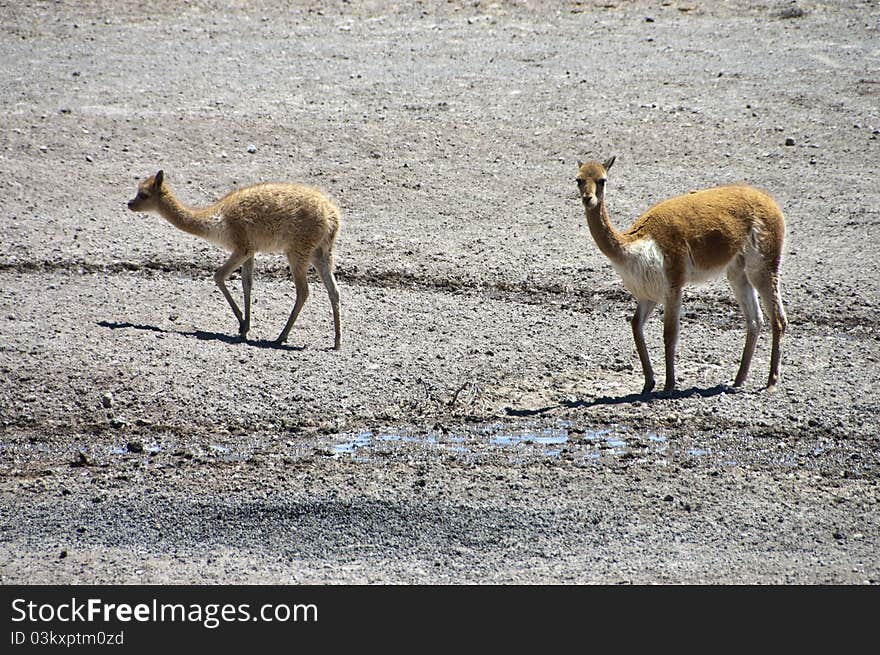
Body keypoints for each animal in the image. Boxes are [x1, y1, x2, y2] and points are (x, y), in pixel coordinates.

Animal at [127, 172, 340, 352]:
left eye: (144, 195)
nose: (129, 203)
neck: (216, 219)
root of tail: (332, 215)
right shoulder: (251, 251)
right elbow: (247, 284)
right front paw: (245, 328)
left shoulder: (241, 247)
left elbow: (219, 276)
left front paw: (242, 324)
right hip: (320, 253)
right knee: (334, 290)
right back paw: (337, 342)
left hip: (298, 250)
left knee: (303, 291)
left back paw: (281, 337)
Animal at [576, 159, 788, 394]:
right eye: (579, 180)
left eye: (602, 180)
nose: (588, 199)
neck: (635, 245)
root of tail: (770, 201)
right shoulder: (647, 294)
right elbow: (635, 326)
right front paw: (648, 383)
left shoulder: (674, 282)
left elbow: (669, 334)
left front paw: (669, 385)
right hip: (737, 271)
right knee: (755, 320)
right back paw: (738, 380)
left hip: (763, 261)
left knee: (778, 319)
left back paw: (771, 382)